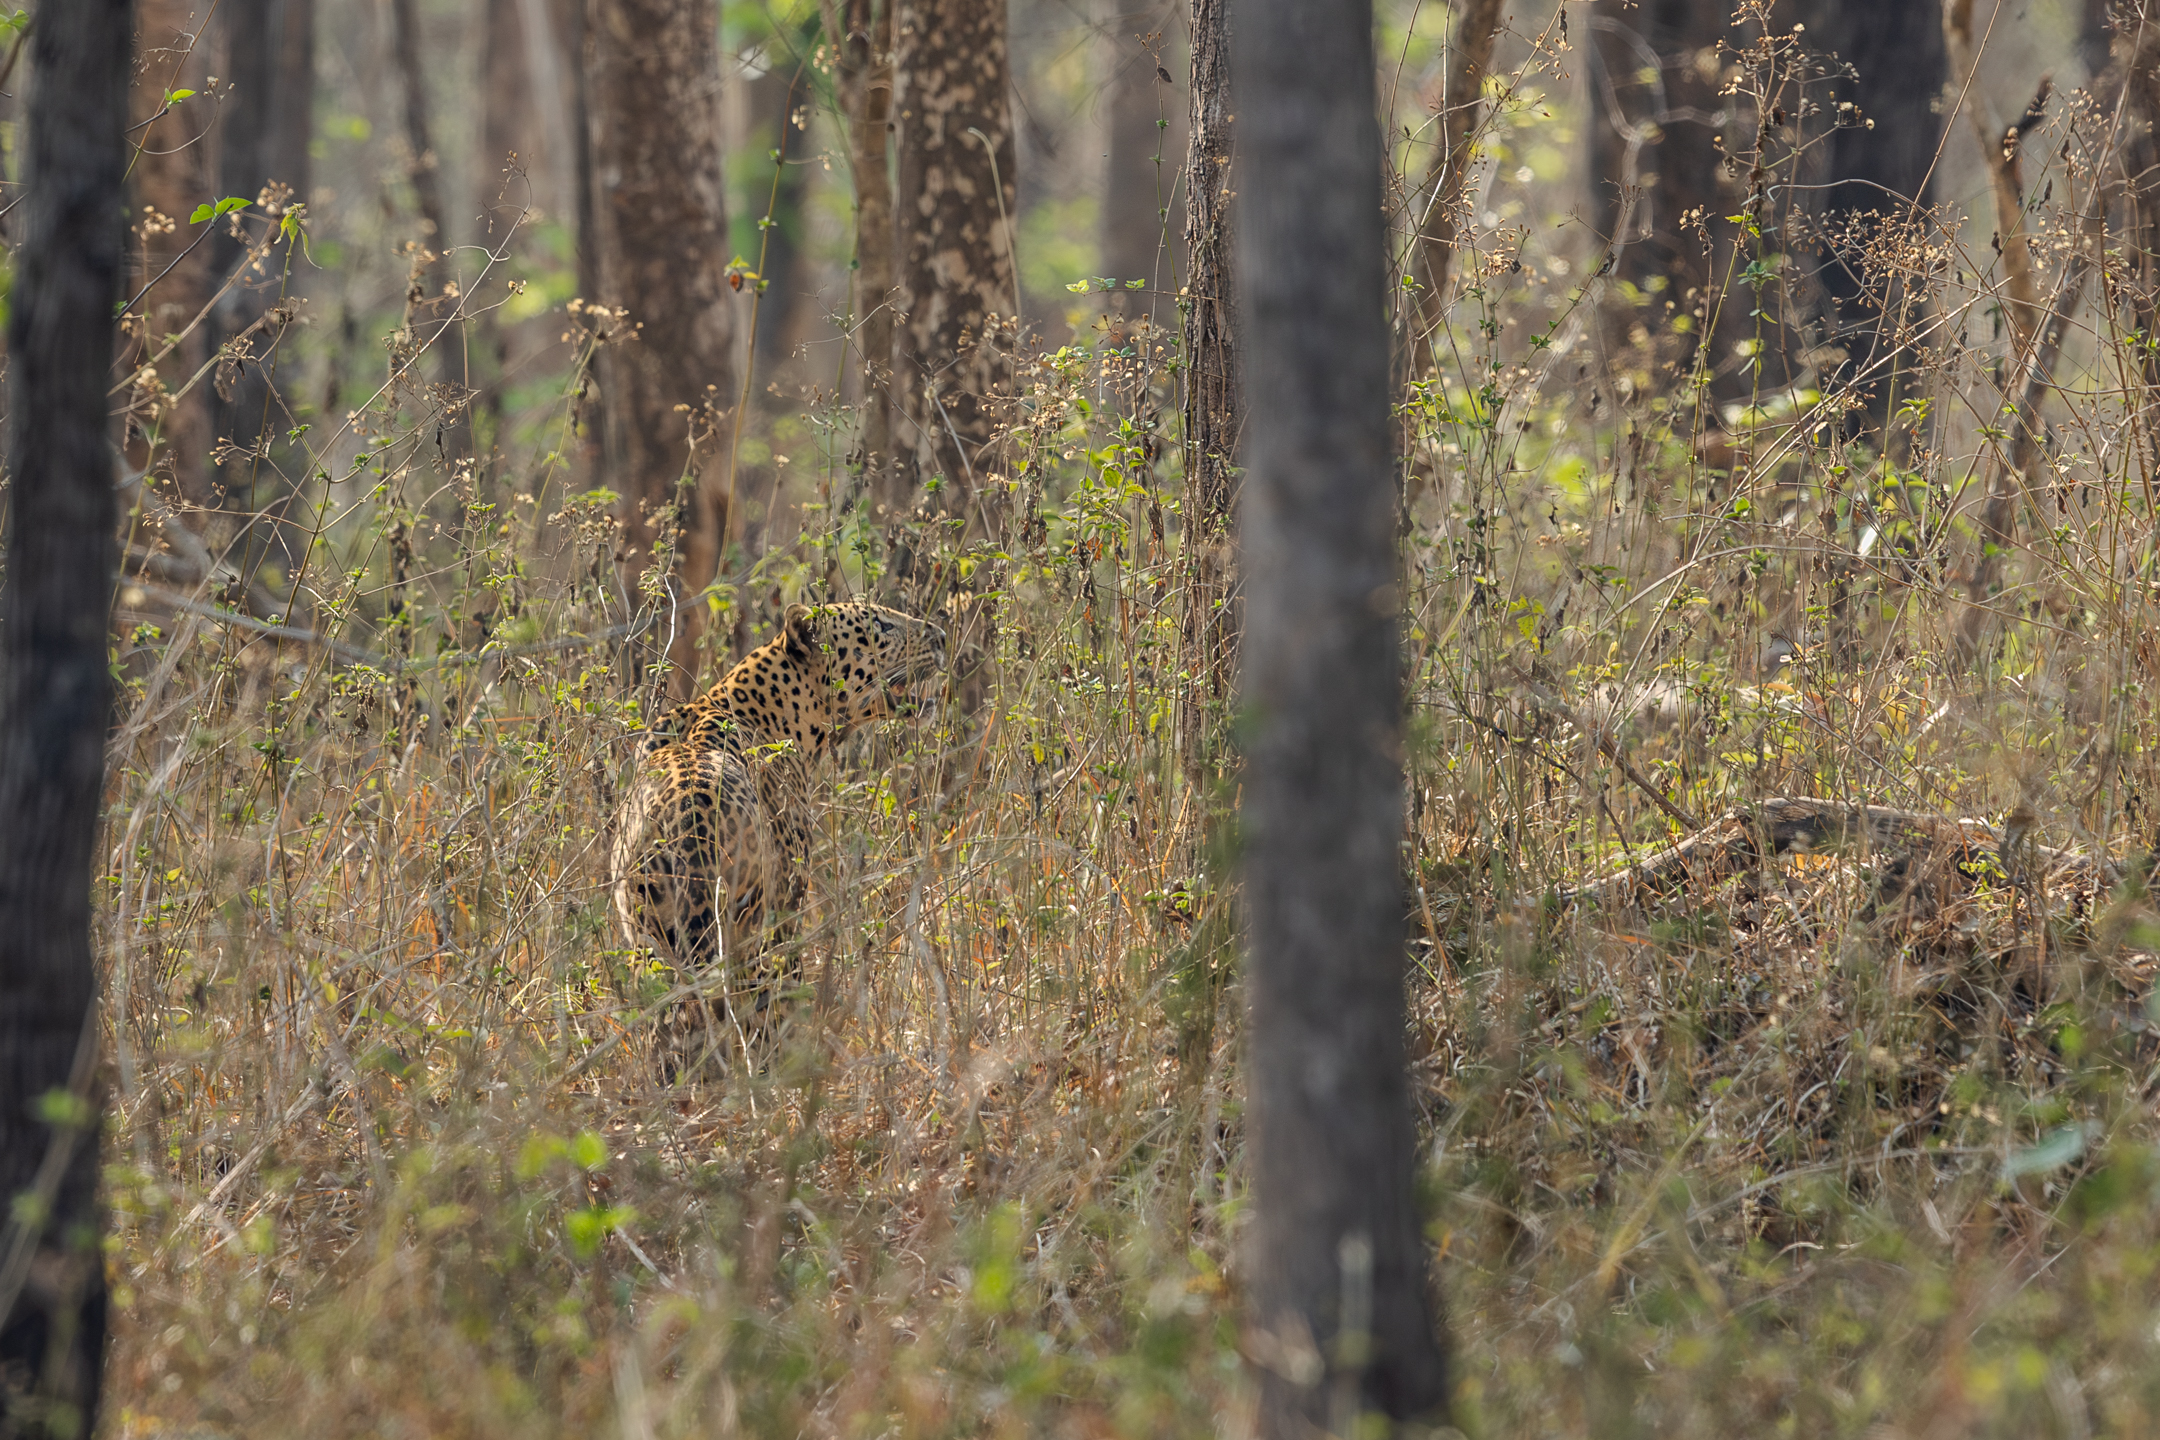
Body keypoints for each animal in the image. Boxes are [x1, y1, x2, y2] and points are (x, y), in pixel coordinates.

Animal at [608, 600, 946, 1072]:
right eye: (880, 623)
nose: (942, 636)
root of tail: (686, 816)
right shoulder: (788, 903)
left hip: (649, 939)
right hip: (747, 930)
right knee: (756, 1012)